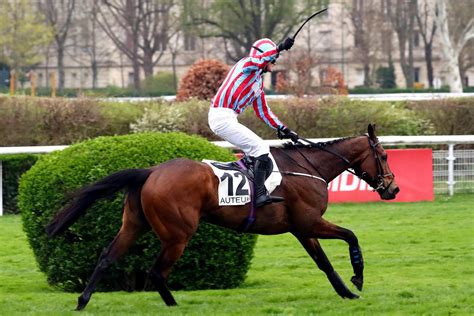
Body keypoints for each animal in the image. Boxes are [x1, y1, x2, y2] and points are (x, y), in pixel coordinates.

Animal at [45, 123, 400, 308]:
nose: (393, 189)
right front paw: (358, 277)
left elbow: (324, 263)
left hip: (134, 225)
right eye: (383, 155)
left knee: (107, 256)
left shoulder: (301, 228)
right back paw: (173, 306)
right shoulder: (310, 222)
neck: (307, 168)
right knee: (157, 272)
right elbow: (351, 235)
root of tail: (151, 171)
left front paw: (347, 292)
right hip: (178, 234)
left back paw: (82, 300)